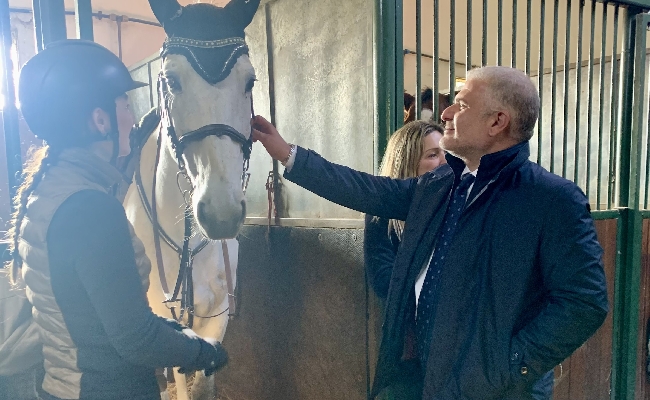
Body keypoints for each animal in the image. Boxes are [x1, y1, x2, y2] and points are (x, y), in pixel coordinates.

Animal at [121, 1, 258, 398]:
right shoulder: (168, 327)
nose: (221, 214)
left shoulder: (217, 315)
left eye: (250, 81)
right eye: (171, 81)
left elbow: (204, 384)